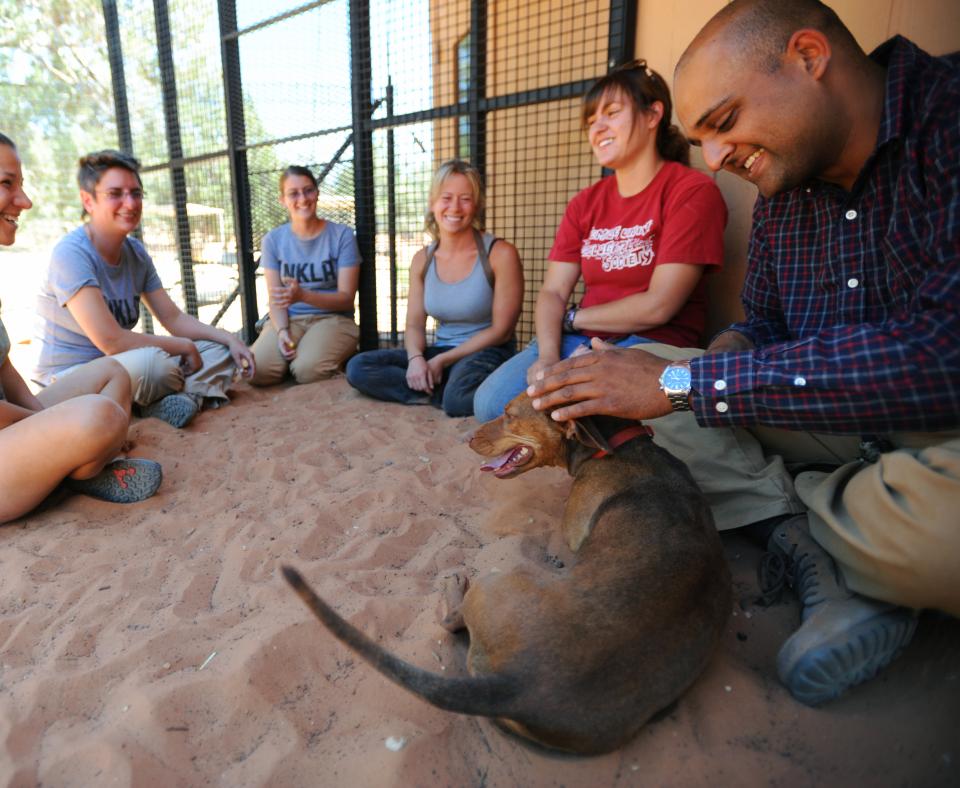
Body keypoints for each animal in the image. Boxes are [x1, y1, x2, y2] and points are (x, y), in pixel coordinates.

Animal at [282, 398, 732, 756]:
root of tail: (516, 684)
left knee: (451, 620)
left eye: (510, 413)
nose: (465, 438)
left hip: (497, 576)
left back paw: (455, 587)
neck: (622, 447)